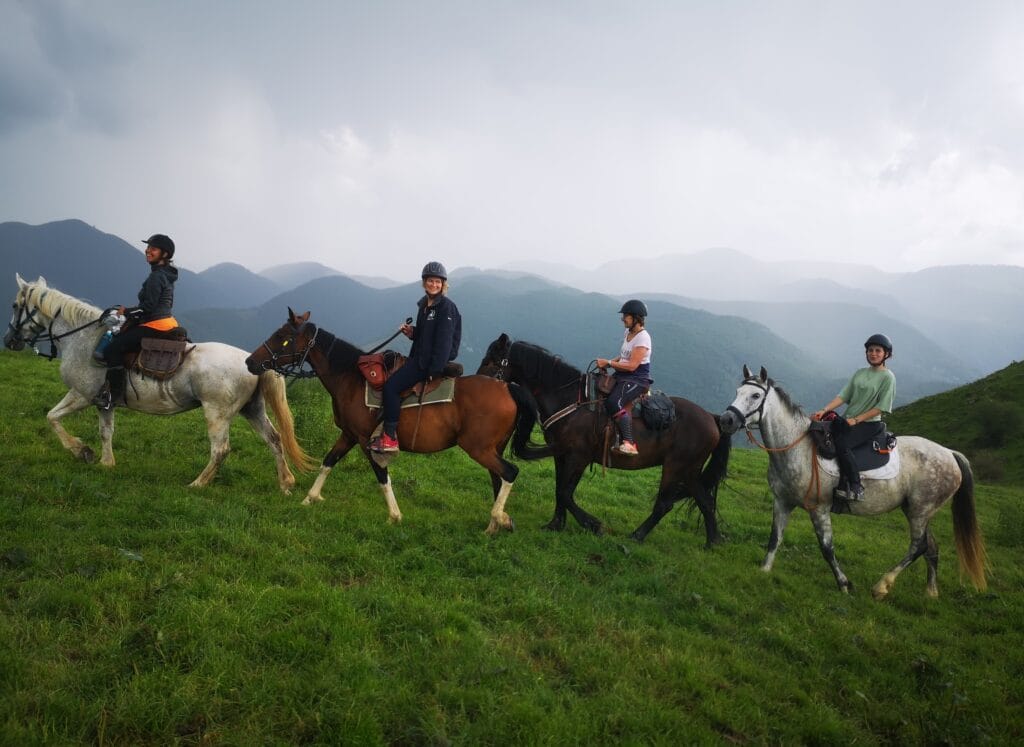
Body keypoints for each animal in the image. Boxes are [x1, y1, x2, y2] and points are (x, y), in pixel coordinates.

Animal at [4, 274, 311, 489]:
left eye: (15, 305)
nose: (9, 341)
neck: (83, 338)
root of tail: (251, 360)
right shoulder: (103, 402)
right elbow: (105, 431)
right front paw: (105, 462)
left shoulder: (82, 394)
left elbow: (52, 417)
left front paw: (82, 451)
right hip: (253, 409)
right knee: (274, 439)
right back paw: (286, 482)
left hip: (217, 412)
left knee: (221, 449)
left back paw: (198, 483)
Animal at [244, 305, 544, 532]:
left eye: (282, 336)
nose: (249, 362)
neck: (350, 379)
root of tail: (508, 387)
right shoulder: (349, 434)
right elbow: (328, 461)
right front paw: (310, 498)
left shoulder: (366, 439)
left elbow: (381, 475)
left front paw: (394, 515)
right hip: (492, 448)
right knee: (498, 477)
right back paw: (495, 525)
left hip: (478, 448)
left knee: (509, 472)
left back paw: (498, 518)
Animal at [477, 336, 729, 545]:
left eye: (490, 362)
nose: (476, 384)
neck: (570, 399)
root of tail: (712, 417)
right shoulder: (562, 453)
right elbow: (560, 489)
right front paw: (556, 524)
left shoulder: (579, 456)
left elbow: (565, 493)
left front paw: (594, 525)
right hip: (690, 470)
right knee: (705, 501)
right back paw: (713, 541)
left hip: (676, 467)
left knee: (665, 504)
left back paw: (638, 535)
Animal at [716, 364, 987, 598]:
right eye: (738, 392)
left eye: (754, 395)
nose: (726, 420)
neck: (796, 449)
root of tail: (949, 453)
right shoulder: (782, 502)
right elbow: (775, 538)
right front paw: (764, 571)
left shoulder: (819, 509)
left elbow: (827, 548)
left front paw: (844, 584)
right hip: (915, 509)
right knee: (931, 547)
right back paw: (930, 592)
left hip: (921, 510)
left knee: (918, 546)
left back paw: (882, 586)